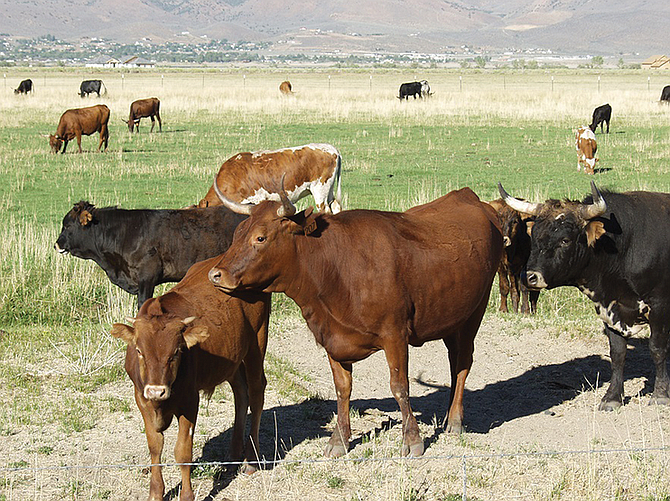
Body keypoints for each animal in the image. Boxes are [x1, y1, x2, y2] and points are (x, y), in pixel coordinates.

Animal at [111, 258, 272, 500]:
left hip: (257, 342)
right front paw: (156, 492)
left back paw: (251, 459)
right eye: (139, 351)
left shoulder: (189, 401)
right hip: (232, 358)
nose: (157, 391)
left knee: (256, 392)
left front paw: (186, 494)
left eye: (176, 352)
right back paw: (232, 456)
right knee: (241, 394)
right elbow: (155, 446)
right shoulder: (141, 398)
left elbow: (183, 452)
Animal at [498, 182, 670, 412]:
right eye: (534, 237)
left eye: (565, 240)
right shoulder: (609, 308)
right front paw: (612, 397)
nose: (529, 277)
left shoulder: (659, 306)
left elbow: (657, 349)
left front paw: (660, 394)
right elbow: (617, 353)